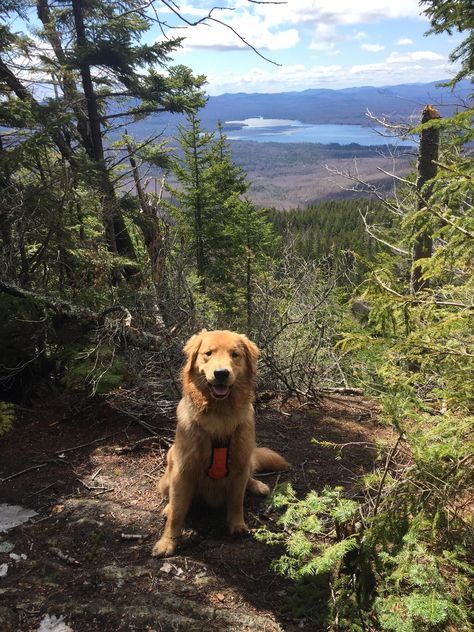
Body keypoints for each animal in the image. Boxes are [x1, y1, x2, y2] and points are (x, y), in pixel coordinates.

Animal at [154, 328, 290, 556]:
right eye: (208, 353)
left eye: (235, 355)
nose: (221, 373)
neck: (219, 415)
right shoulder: (184, 469)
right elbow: (177, 512)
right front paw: (168, 542)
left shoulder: (239, 465)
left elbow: (236, 502)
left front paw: (237, 525)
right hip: (169, 466)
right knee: (170, 497)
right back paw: (167, 507)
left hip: (247, 459)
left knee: (248, 478)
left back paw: (257, 485)